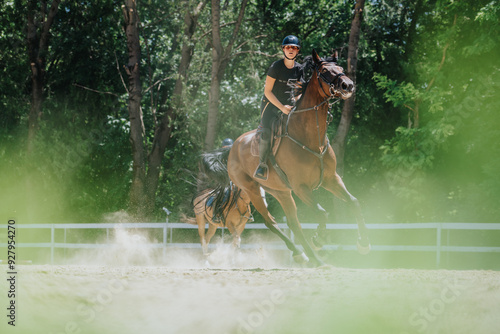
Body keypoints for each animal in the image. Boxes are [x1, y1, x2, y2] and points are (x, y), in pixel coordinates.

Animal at [208, 49, 372, 266]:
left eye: (341, 68)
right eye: (324, 71)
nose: (348, 85)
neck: (311, 138)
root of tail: (233, 148)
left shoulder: (331, 179)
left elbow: (354, 202)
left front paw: (363, 244)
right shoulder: (301, 187)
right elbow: (322, 213)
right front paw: (319, 239)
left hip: (281, 192)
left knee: (293, 223)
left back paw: (308, 257)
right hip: (252, 190)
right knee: (271, 222)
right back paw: (307, 255)